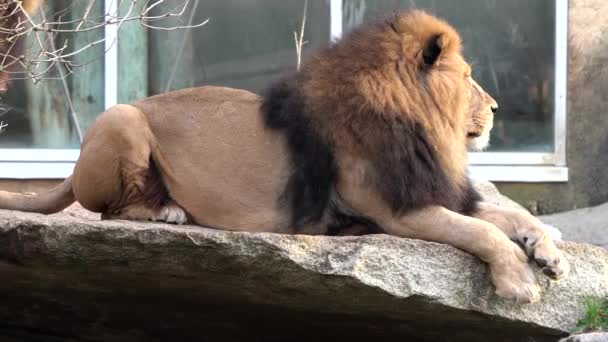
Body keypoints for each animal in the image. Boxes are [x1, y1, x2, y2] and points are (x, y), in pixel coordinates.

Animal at [1, 10, 568, 304]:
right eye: (469, 75)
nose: (496, 108)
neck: (418, 124)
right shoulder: (395, 209)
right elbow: (482, 231)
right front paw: (518, 281)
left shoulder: (429, 188)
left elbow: (510, 214)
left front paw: (549, 251)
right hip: (122, 116)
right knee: (110, 210)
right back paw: (167, 209)